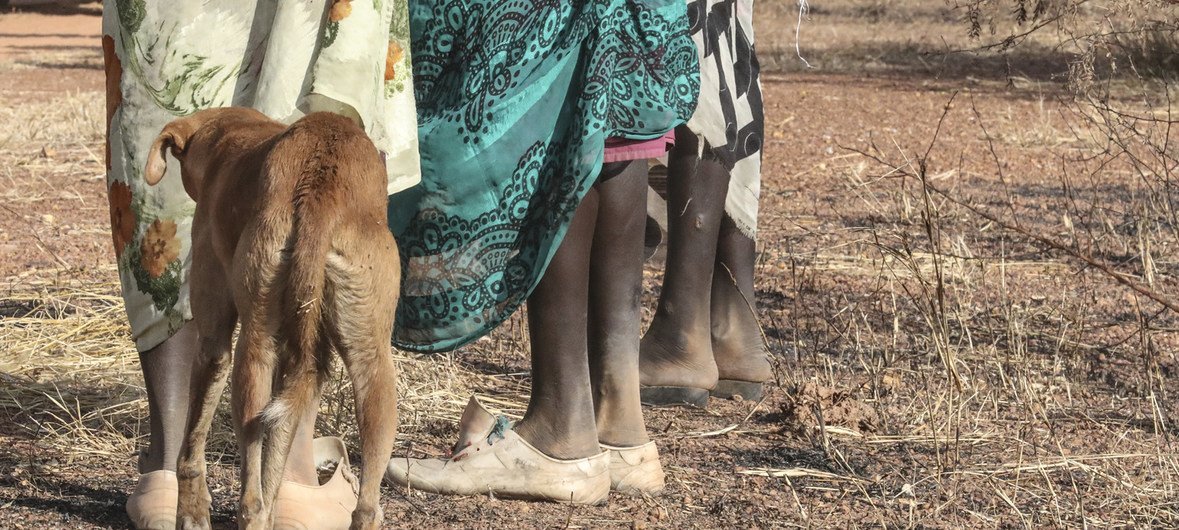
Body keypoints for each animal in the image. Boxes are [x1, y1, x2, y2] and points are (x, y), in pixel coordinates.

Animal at [145, 108, 403, 530]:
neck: (230, 133)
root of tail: (323, 188)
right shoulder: (294, 370)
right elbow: (275, 467)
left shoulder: (213, 345)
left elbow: (192, 448)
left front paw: (192, 511)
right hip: (371, 363)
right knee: (364, 506)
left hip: (253, 353)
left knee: (250, 498)